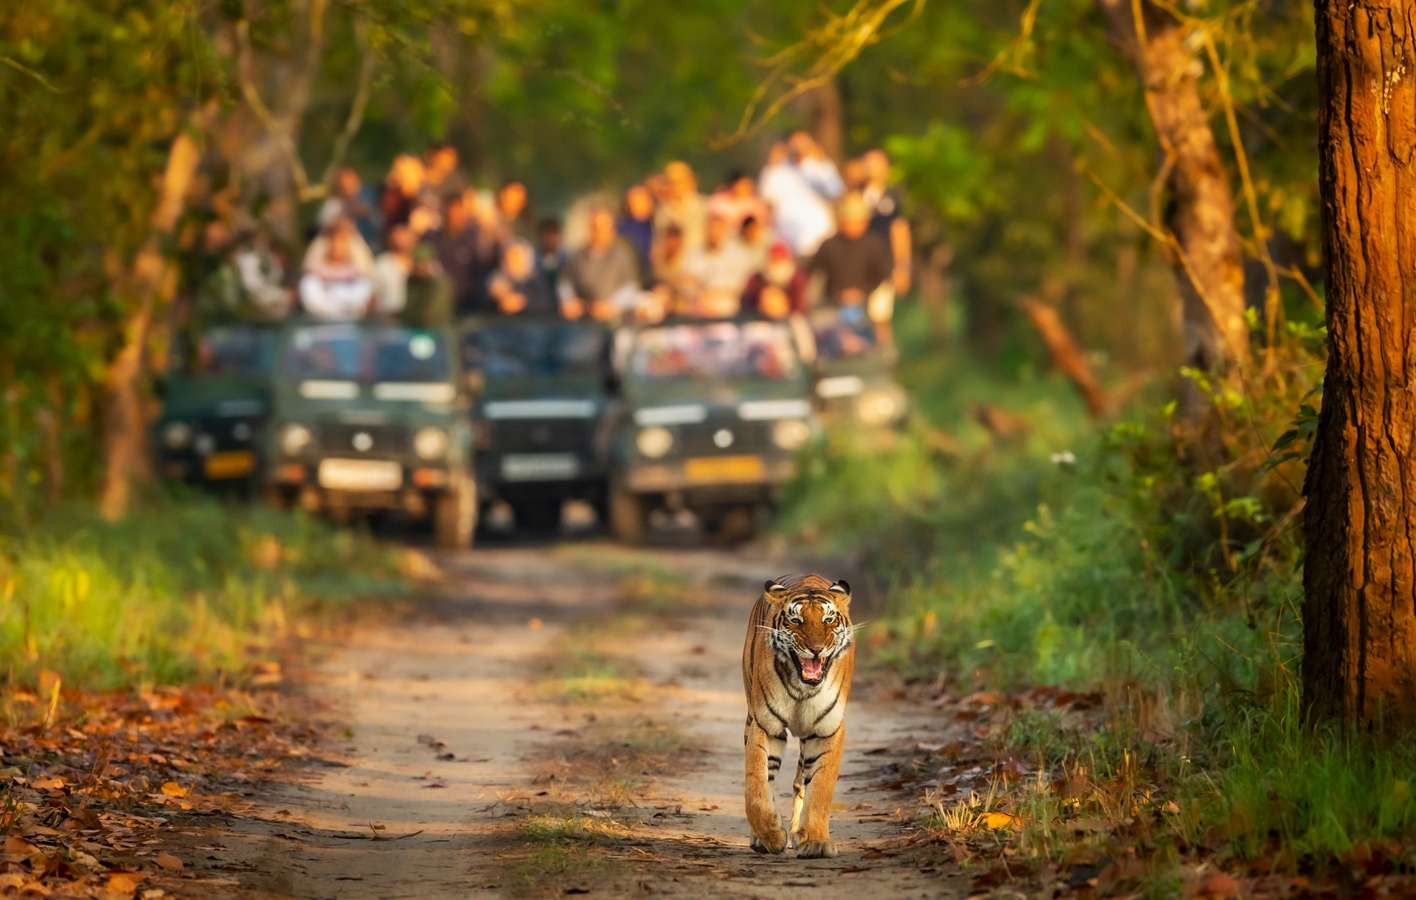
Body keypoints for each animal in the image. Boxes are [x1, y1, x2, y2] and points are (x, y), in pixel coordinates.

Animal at [741, 573, 855, 858]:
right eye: (796, 621)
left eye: (828, 620)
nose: (816, 649)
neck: (803, 688)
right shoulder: (765, 725)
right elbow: (757, 786)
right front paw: (771, 835)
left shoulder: (827, 730)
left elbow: (820, 787)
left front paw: (814, 841)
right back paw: (761, 838)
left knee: (801, 782)